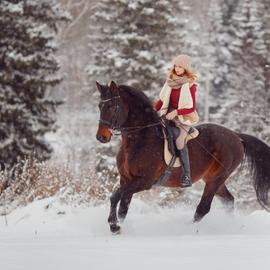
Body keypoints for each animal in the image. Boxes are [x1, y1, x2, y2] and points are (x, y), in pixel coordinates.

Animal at [96, 79, 270, 232]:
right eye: (100, 106)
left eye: (112, 106)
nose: (101, 137)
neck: (139, 139)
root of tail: (237, 136)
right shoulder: (125, 178)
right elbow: (118, 200)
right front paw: (115, 225)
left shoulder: (144, 181)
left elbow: (121, 199)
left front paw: (116, 226)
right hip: (214, 179)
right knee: (228, 201)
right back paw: (229, 227)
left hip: (216, 178)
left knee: (203, 208)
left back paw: (184, 228)